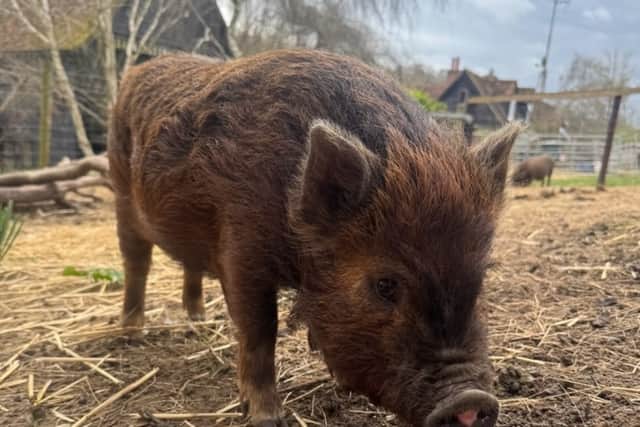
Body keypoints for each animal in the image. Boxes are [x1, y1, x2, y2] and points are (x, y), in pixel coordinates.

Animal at [108, 49, 522, 427]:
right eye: (385, 284)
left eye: (481, 278)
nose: (471, 400)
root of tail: (135, 73)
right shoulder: (241, 252)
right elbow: (260, 332)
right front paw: (267, 418)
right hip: (121, 194)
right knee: (136, 263)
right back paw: (131, 334)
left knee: (189, 266)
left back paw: (197, 320)